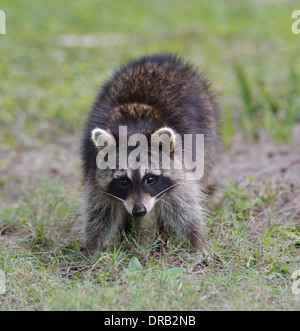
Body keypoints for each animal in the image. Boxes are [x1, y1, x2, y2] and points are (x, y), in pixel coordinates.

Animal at [81, 54, 219, 255]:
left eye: (150, 179)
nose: (139, 211)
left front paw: (197, 242)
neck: (132, 130)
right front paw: (93, 248)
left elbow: (184, 205)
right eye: (123, 181)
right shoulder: (94, 170)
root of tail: (161, 59)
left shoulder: (182, 162)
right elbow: (100, 211)